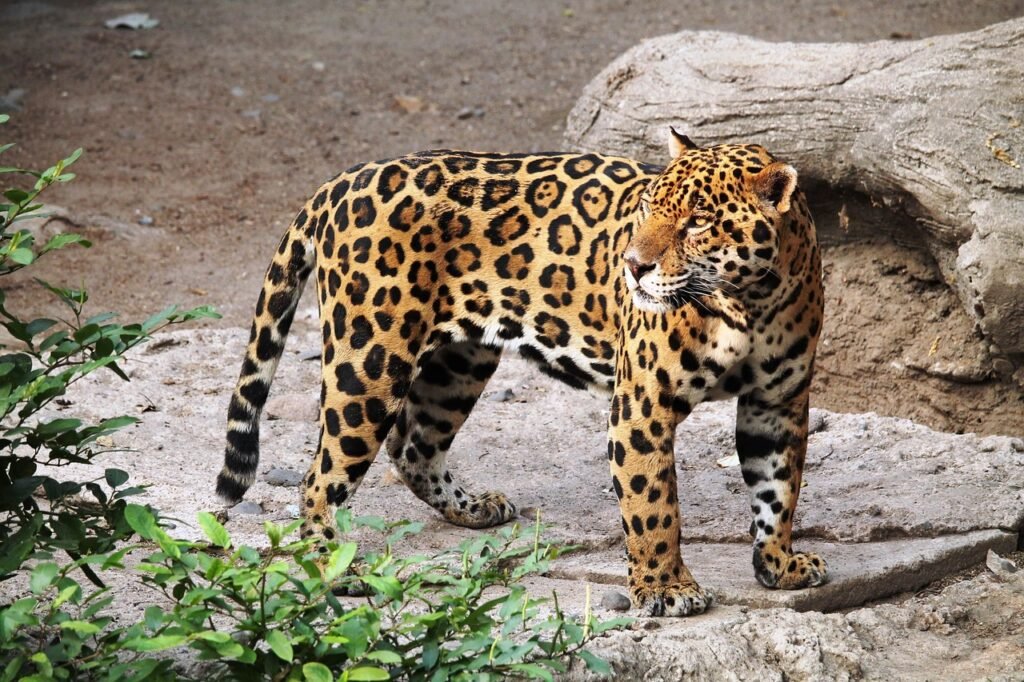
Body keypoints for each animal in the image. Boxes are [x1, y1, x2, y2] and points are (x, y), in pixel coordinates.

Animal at [216, 128, 827, 616]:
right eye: (648, 210)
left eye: (699, 223)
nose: (633, 266)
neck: (749, 302)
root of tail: (342, 181)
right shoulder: (642, 407)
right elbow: (654, 505)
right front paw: (665, 588)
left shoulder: (777, 405)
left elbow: (778, 489)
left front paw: (779, 564)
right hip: (369, 363)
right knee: (321, 476)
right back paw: (330, 566)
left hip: (459, 363)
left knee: (412, 446)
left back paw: (473, 509)